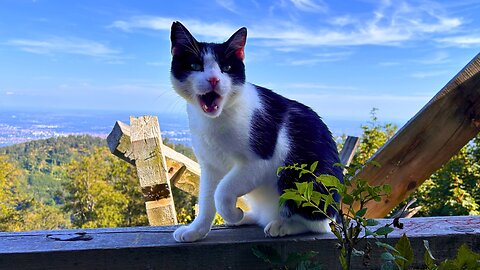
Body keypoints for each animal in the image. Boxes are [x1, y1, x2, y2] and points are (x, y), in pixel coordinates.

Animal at [169, 21, 342, 243]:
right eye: (195, 66)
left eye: (226, 68)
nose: (214, 79)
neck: (215, 121)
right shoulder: (210, 165)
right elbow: (208, 198)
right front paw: (196, 230)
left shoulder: (259, 160)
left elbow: (222, 191)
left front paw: (232, 212)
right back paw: (249, 218)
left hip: (301, 178)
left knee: (317, 225)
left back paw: (282, 225)